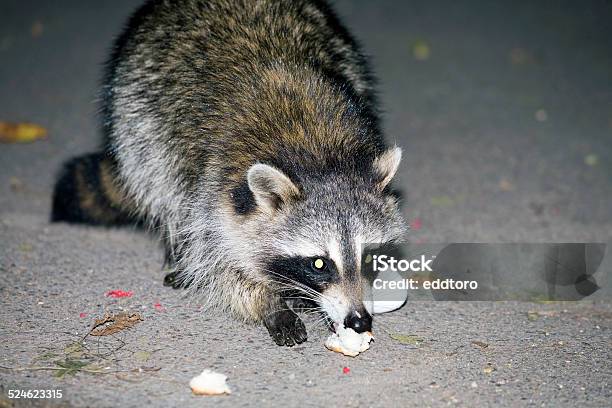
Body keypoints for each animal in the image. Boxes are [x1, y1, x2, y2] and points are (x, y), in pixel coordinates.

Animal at [51, 0, 406, 346]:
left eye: (368, 257)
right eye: (319, 263)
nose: (358, 320)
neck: (319, 156)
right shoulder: (213, 183)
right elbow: (219, 259)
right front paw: (267, 302)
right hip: (136, 115)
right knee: (159, 183)